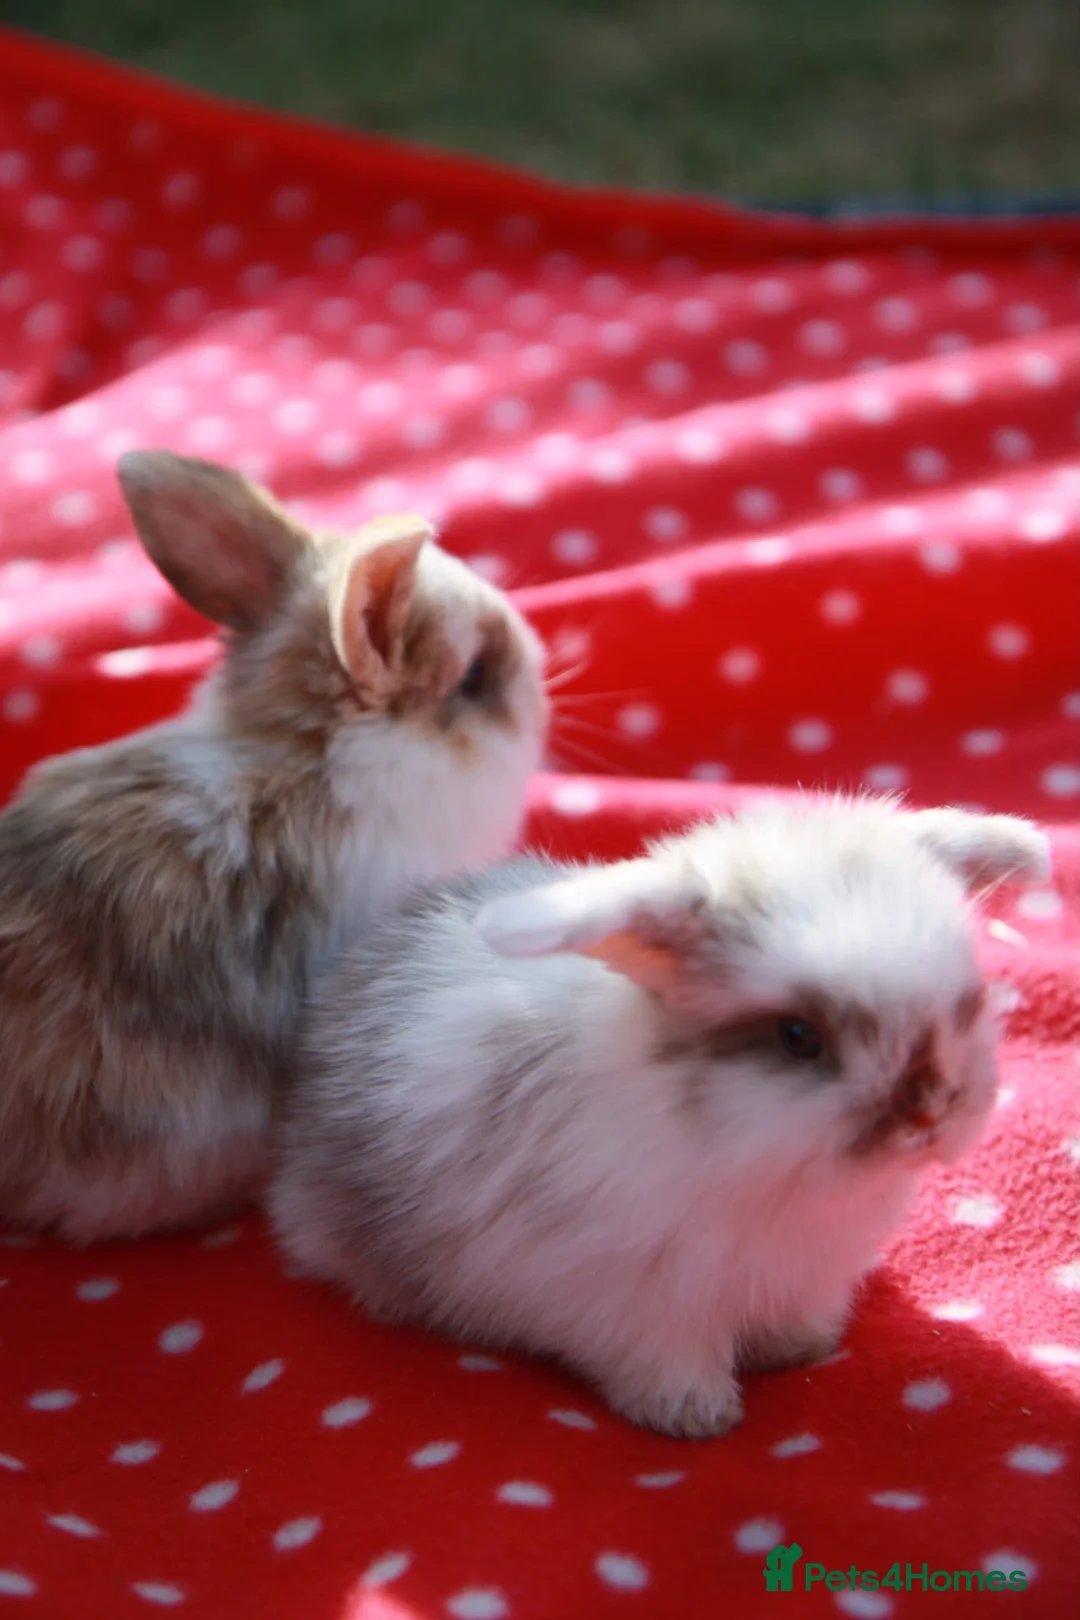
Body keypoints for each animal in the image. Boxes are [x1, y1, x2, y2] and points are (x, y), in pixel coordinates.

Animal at [269, 795, 1049, 1438]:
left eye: (970, 999)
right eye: (798, 1036)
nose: (931, 1112)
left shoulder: (805, 1275)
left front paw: (801, 1351)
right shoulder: (635, 1302)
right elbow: (667, 1362)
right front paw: (697, 1417)